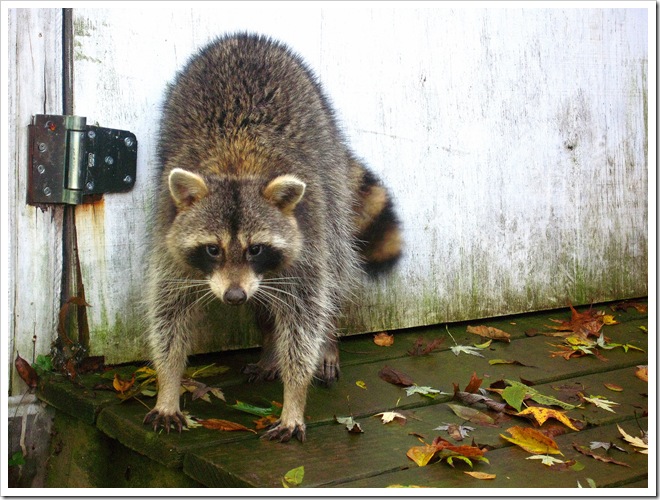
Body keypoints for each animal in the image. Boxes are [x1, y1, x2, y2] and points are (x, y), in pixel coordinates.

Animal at [143, 33, 402, 442]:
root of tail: (243, 36)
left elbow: (304, 315)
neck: (235, 166)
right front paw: (168, 386)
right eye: (212, 249)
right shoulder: (169, 237)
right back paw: (267, 346)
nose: (234, 297)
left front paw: (294, 396)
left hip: (328, 174)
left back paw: (326, 339)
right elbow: (168, 311)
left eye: (257, 249)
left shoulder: (307, 235)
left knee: (336, 266)